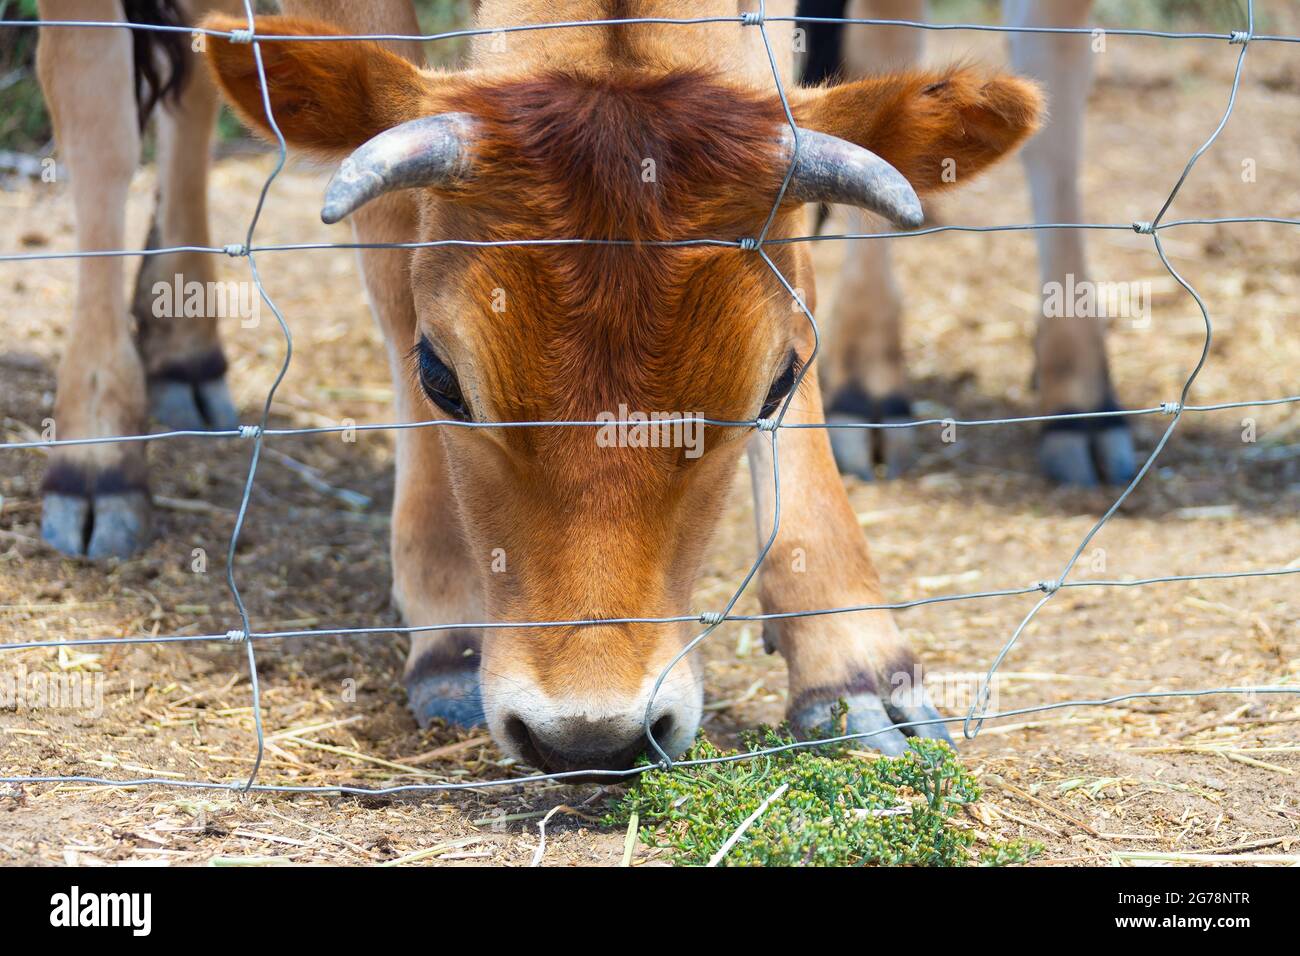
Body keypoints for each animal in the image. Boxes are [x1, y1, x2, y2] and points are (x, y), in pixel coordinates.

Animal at [30, 0, 1040, 775]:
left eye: (776, 384)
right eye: (441, 377)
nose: (591, 737)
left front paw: (854, 660)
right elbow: (389, 244)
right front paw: (447, 619)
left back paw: (181, 345)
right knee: (93, 111)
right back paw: (97, 454)